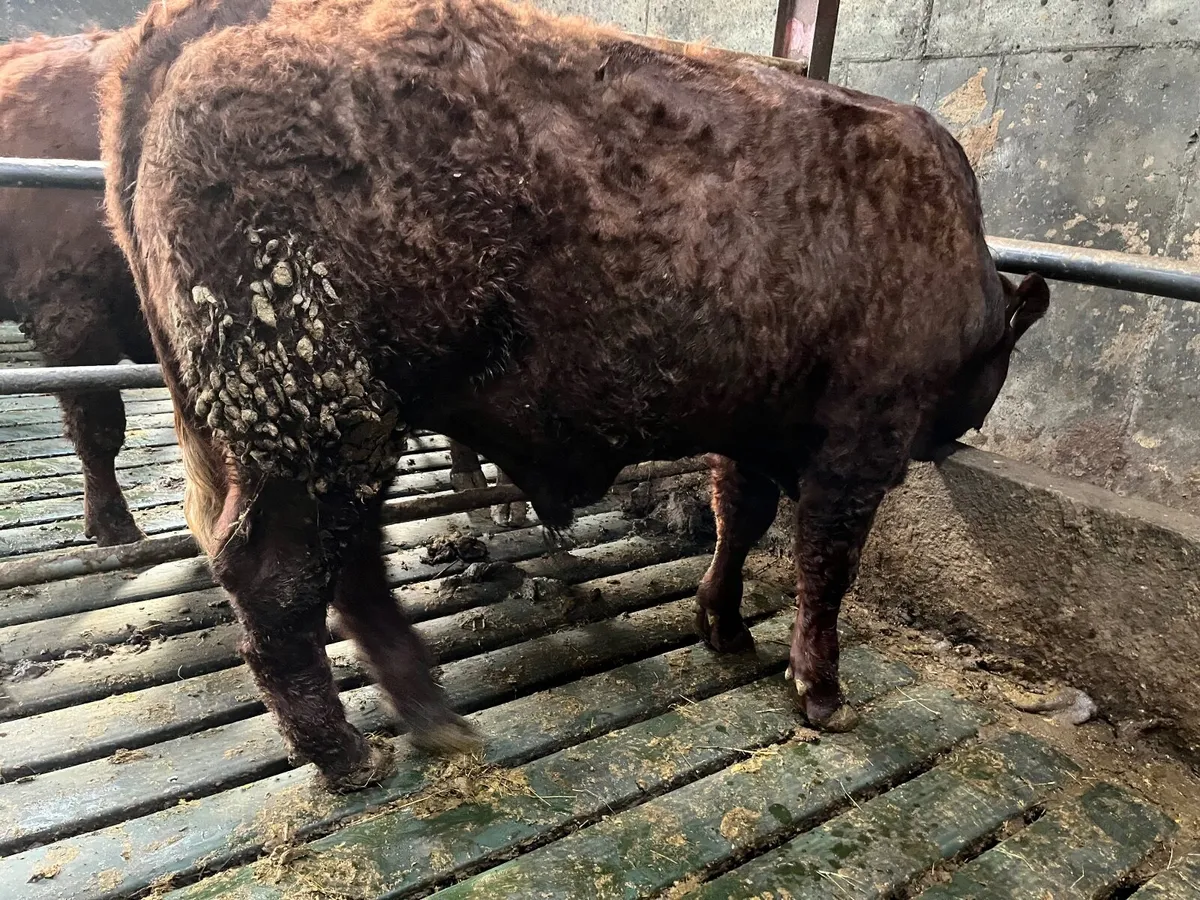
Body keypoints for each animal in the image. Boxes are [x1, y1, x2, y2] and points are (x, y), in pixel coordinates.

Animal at [99, 0, 1050, 791]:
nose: (960, 431)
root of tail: (182, 34)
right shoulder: (859, 448)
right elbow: (826, 570)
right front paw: (821, 691)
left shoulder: (749, 429)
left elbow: (737, 522)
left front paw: (723, 625)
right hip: (318, 426)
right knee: (281, 581)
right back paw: (349, 754)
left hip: (343, 428)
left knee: (350, 568)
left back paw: (433, 718)